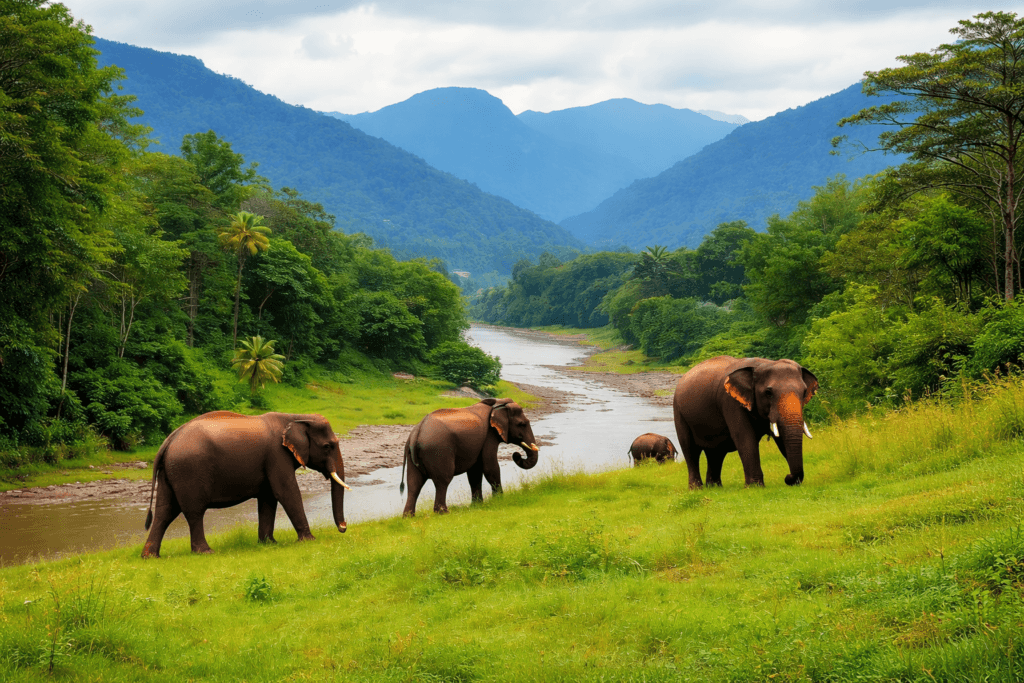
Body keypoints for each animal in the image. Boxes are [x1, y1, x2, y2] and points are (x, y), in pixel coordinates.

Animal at [141, 411, 351, 558]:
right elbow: (286, 492)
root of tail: (167, 441)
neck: (295, 416)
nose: (343, 527)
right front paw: (308, 541)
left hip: (170, 472)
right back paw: (206, 552)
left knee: (165, 511)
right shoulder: (277, 455)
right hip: (188, 470)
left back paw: (150, 557)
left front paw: (269, 544)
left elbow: (268, 498)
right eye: (327, 447)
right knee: (193, 511)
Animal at [400, 398, 539, 516]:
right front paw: (500, 500)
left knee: (414, 483)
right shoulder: (489, 436)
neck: (497, 404)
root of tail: (416, 432)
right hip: (438, 451)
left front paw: (477, 505)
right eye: (522, 424)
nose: (516, 455)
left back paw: (408, 517)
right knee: (442, 480)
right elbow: (490, 468)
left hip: (412, 455)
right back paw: (443, 513)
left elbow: (475, 472)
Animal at [673, 356, 818, 489]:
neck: (763, 363)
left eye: (804, 392)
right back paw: (696, 489)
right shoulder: (730, 402)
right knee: (690, 450)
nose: (787, 478)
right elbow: (745, 438)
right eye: (768, 393)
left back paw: (714, 487)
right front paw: (755, 487)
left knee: (716, 453)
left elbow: (781, 438)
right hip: (678, 412)